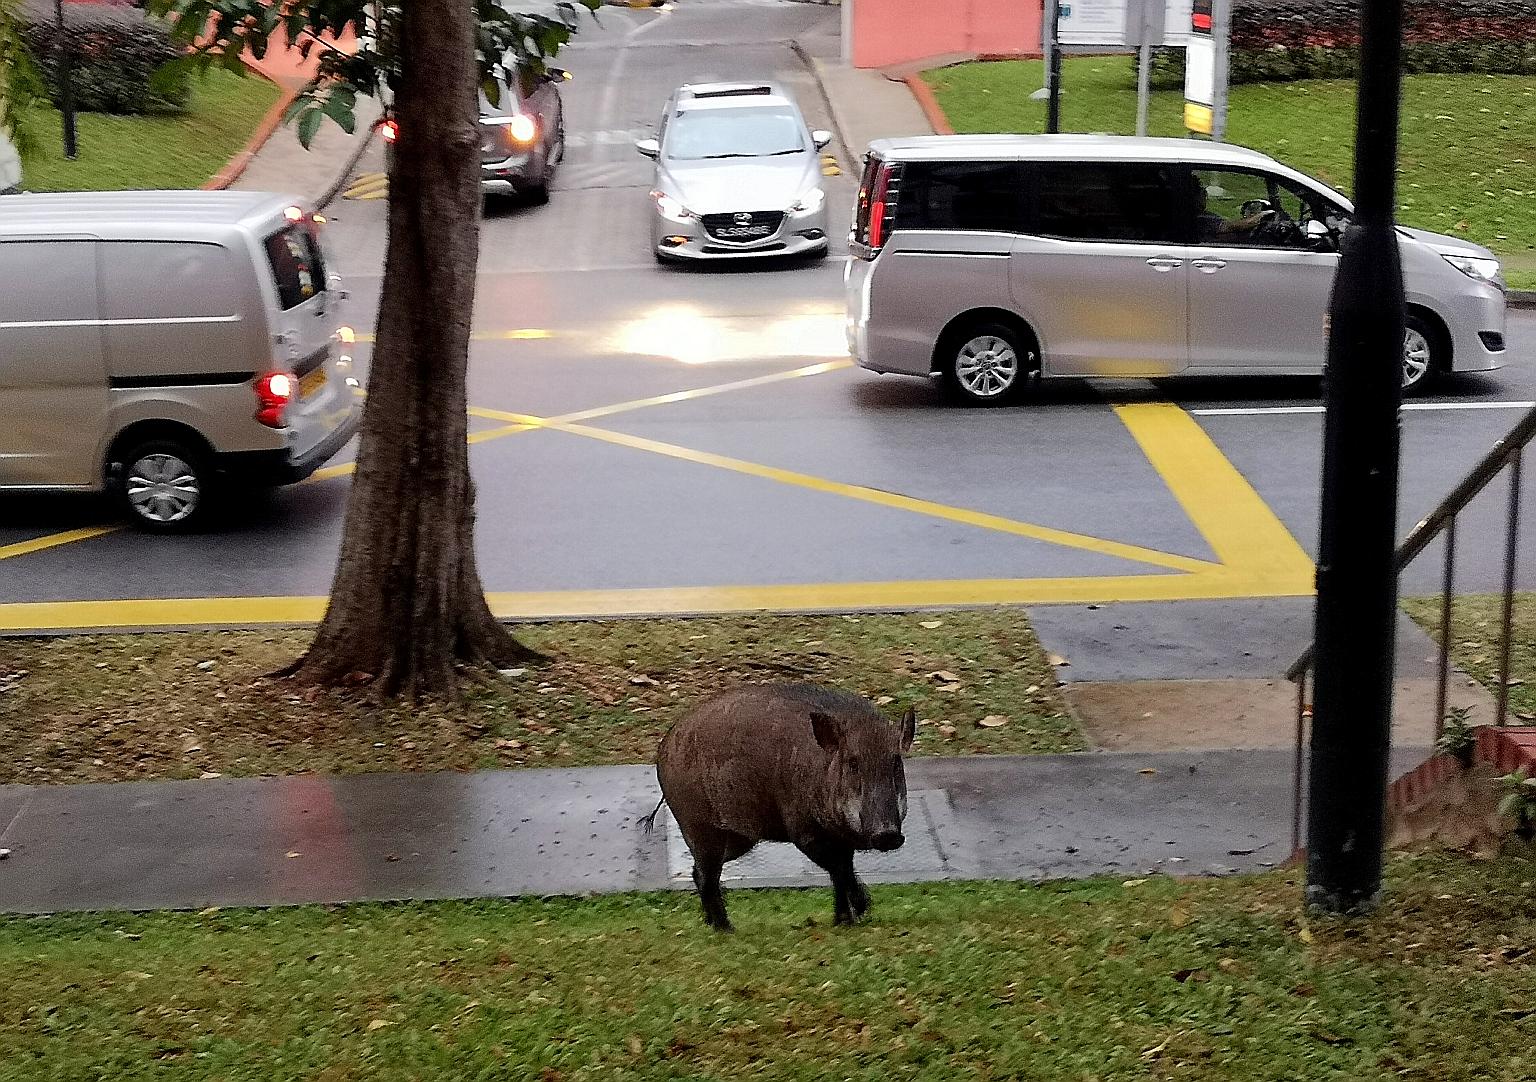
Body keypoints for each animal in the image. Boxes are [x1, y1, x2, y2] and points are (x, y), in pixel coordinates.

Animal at [639, 681, 916, 932]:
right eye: (853, 763)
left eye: (896, 762)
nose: (888, 834)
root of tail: (663, 748)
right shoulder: (802, 831)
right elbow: (837, 868)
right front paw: (858, 911)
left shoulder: (840, 839)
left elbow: (843, 870)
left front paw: (846, 919)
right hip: (699, 827)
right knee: (707, 876)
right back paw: (725, 929)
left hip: (739, 839)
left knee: (699, 872)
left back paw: (712, 924)